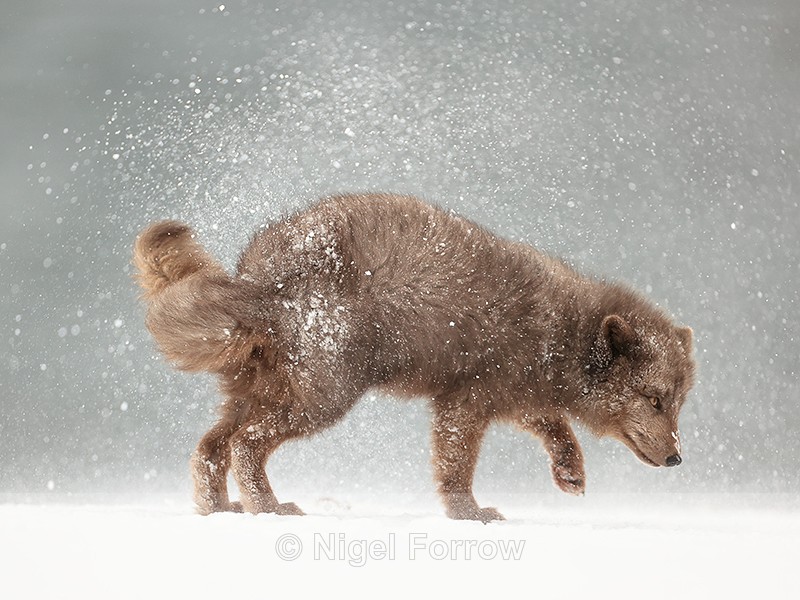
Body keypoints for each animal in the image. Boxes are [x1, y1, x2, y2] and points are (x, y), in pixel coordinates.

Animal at [133, 193, 696, 522]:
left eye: (679, 403)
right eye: (653, 398)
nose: (676, 457)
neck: (560, 333)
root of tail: (256, 276)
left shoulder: (514, 395)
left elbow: (556, 427)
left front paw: (570, 473)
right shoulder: (466, 400)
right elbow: (457, 465)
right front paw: (470, 515)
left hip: (254, 392)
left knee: (210, 448)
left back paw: (219, 511)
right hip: (324, 397)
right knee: (245, 444)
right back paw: (268, 508)